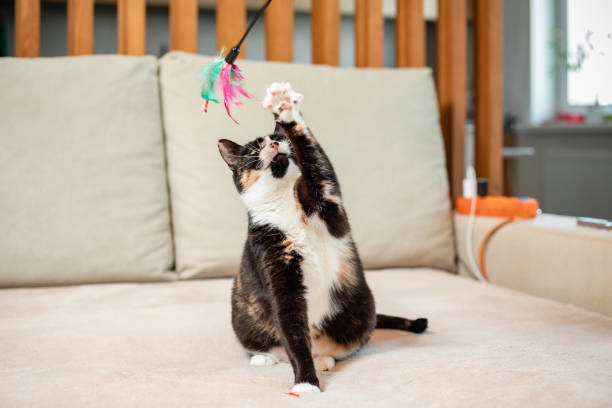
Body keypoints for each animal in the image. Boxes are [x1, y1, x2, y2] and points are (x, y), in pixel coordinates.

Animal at [218, 83, 428, 392]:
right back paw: (264, 357)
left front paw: (286, 110)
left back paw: (323, 360)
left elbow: (317, 160)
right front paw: (306, 383)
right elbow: (291, 330)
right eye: (254, 150)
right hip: (243, 314)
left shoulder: (327, 200)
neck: (285, 203)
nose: (273, 144)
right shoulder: (274, 265)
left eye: (279, 139)